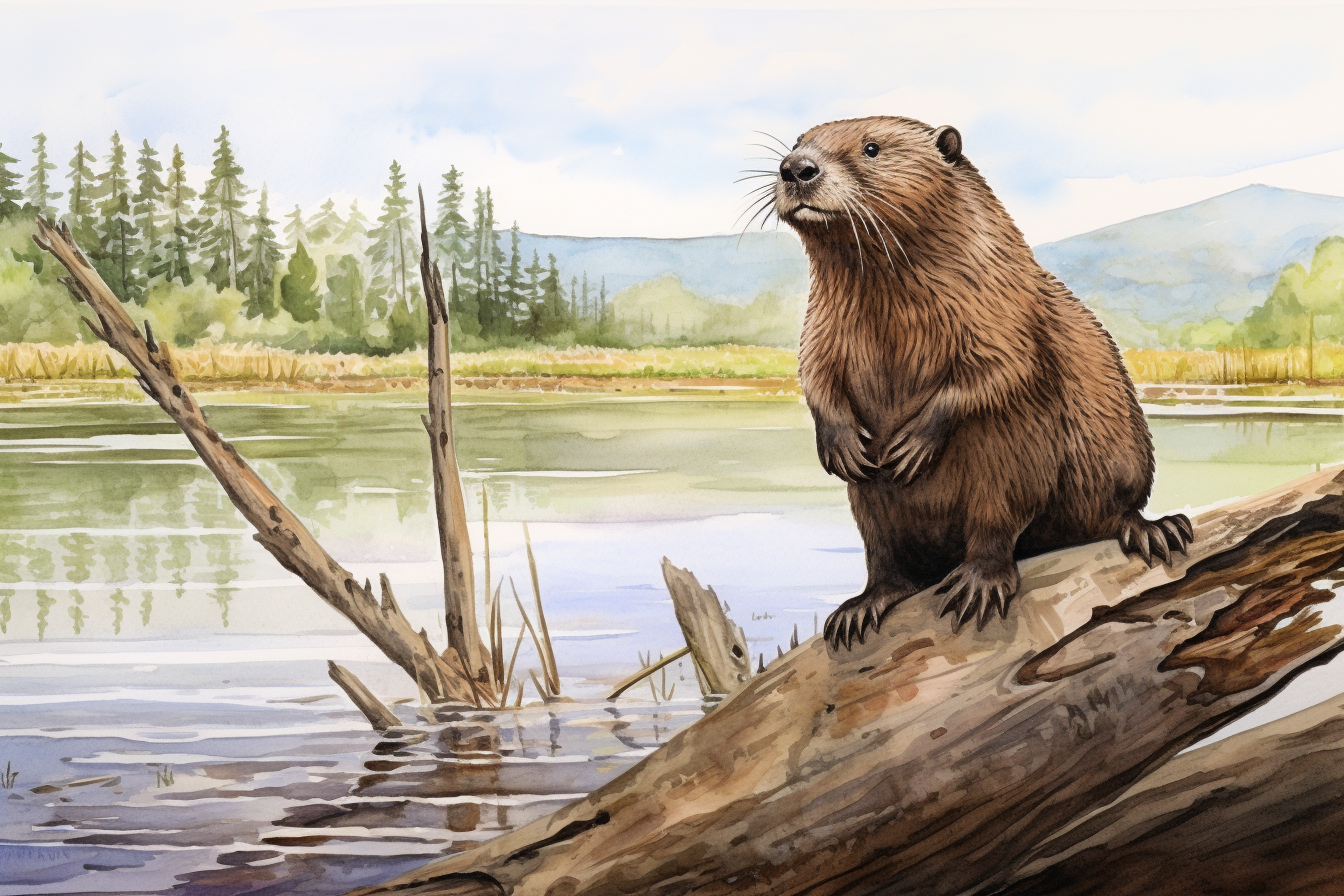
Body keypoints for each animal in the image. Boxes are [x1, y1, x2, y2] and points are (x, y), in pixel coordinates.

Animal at [768, 117, 1198, 652]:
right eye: (796, 143)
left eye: (871, 147)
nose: (795, 168)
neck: (889, 301)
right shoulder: (824, 320)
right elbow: (814, 371)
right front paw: (844, 446)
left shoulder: (1005, 299)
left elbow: (1002, 368)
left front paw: (911, 446)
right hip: (871, 507)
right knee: (885, 559)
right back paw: (857, 611)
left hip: (1043, 465)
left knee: (1018, 522)